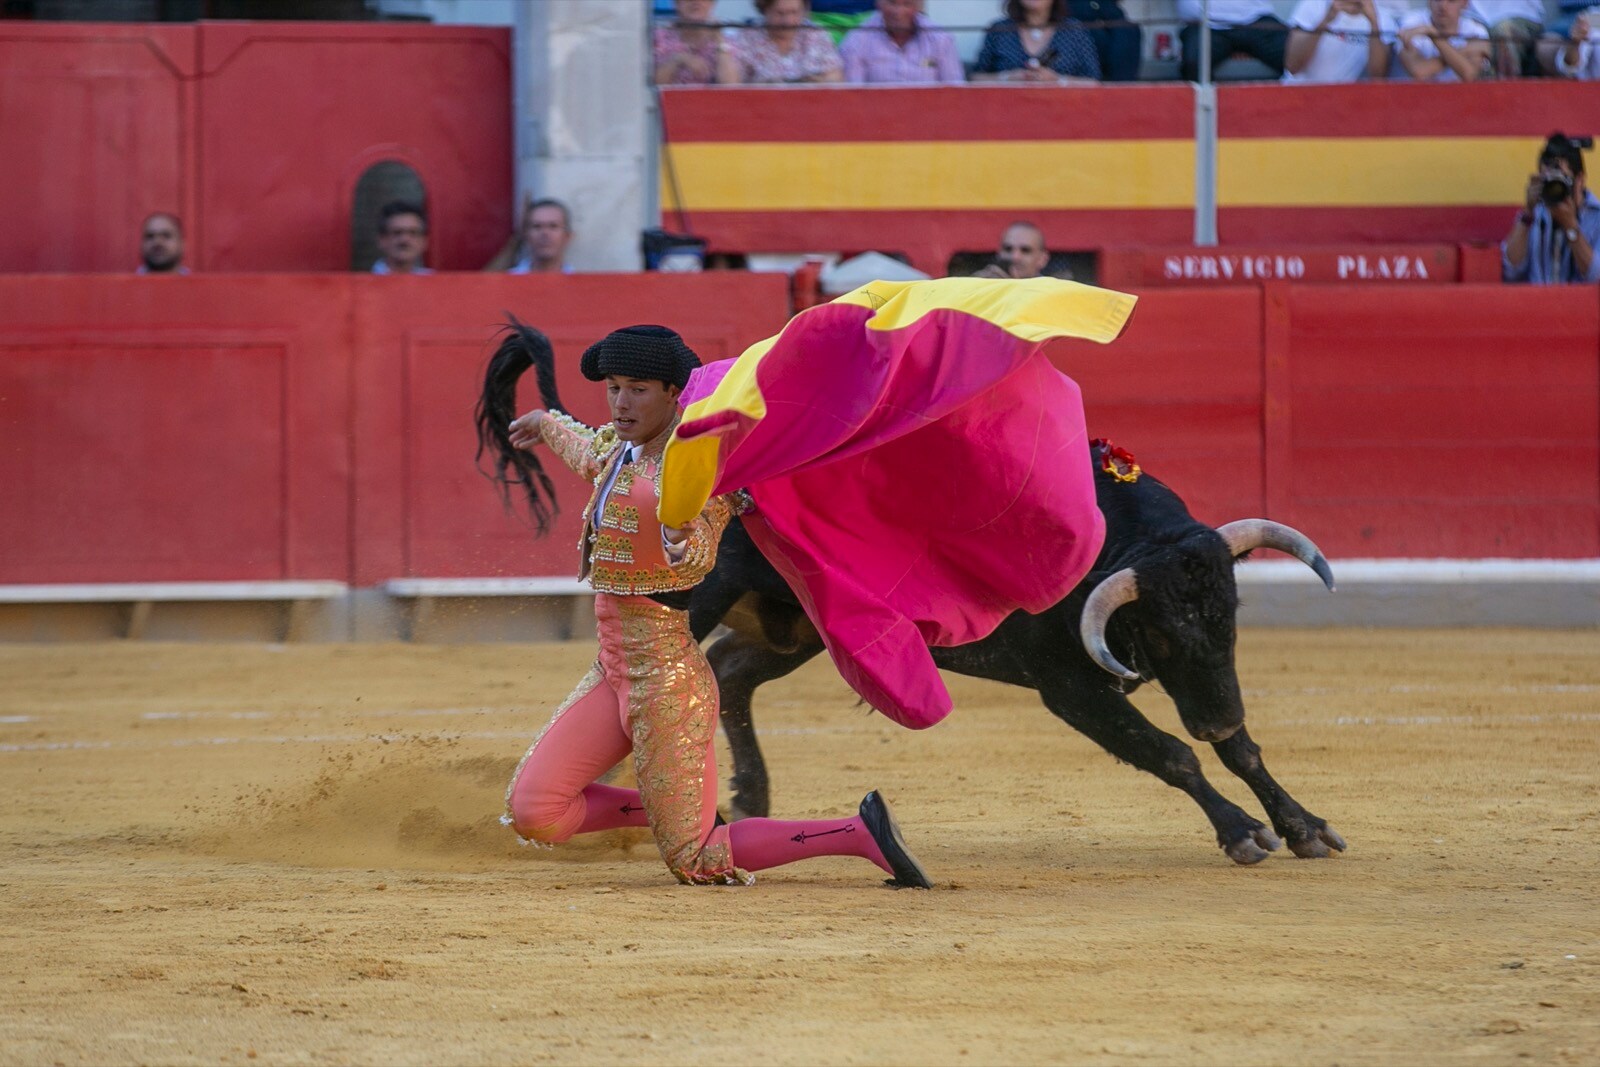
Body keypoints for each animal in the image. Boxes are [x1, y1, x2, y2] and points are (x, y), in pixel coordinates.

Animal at [476, 326, 1350, 870]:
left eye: (1230, 619)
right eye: (1160, 631)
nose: (1219, 712)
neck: (1106, 535)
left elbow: (1241, 753)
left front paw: (1304, 824)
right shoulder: (1070, 684)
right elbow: (1169, 751)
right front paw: (1242, 831)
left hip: (798, 629)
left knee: (729, 673)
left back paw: (748, 795)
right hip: (709, 597)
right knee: (680, 672)